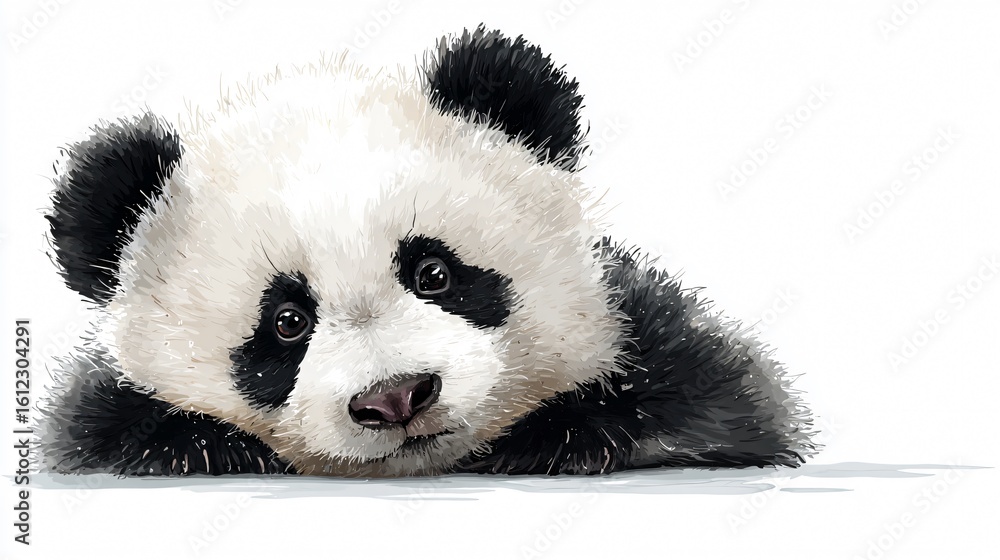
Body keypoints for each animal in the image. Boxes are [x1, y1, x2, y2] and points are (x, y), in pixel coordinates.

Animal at [39, 26, 816, 477]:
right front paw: (207, 445)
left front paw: (557, 437)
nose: (395, 397)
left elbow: (711, 403)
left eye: (434, 272)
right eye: (286, 322)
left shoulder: (656, 340)